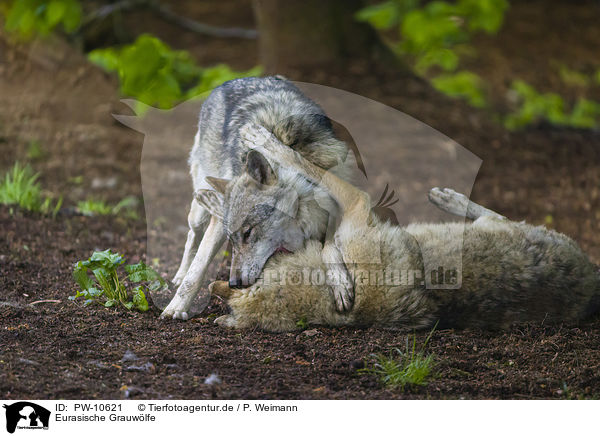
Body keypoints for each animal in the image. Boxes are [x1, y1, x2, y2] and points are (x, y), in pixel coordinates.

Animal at [162, 76, 354, 318]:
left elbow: (330, 247)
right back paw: (179, 275)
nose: (233, 283)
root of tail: (233, 80)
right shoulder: (218, 227)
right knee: (191, 237)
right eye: (233, 237)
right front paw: (176, 307)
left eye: (248, 233)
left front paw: (340, 283)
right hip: (198, 215)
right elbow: (198, 267)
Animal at [205, 123, 600, 330]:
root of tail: (592, 275)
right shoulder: (354, 207)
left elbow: (298, 161)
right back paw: (448, 198)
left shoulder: (349, 205)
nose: (234, 281)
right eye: (233, 241)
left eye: (247, 235)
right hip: (497, 226)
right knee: (494, 215)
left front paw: (261, 139)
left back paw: (445, 196)